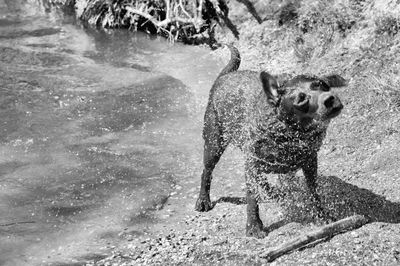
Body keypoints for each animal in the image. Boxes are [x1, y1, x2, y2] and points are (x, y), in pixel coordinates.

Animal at [195, 44, 348, 238]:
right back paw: (203, 200)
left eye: (322, 85)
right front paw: (254, 226)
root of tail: (224, 77)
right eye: (301, 100)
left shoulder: (310, 162)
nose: (329, 99)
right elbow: (252, 199)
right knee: (207, 172)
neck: (289, 133)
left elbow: (314, 192)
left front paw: (321, 215)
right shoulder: (252, 163)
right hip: (214, 144)